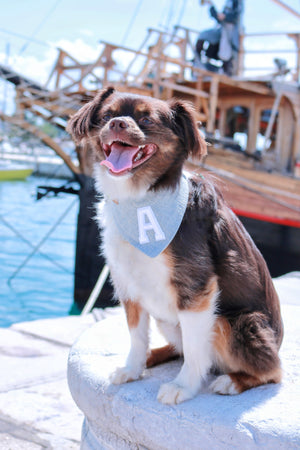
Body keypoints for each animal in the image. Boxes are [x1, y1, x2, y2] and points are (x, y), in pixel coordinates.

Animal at [67, 87, 284, 404]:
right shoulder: (128, 281)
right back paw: (152, 356)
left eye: (146, 119)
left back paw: (232, 381)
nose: (118, 124)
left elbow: (195, 349)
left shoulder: (196, 287)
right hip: (167, 319)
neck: (141, 199)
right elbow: (136, 334)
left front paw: (184, 386)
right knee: (178, 347)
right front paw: (133, 368)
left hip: (238, 322)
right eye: (107, 116)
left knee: (272, 370)